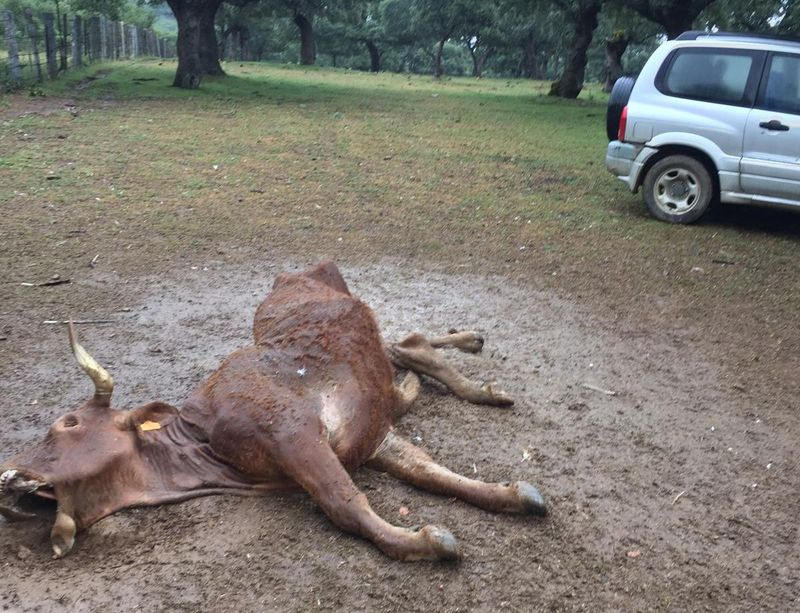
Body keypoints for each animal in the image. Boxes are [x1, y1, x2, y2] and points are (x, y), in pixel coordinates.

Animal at [0, 261, 546, 561]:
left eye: (67, 424)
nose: (8, 472)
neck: (208, 449)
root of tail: (299, 270)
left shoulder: (292, 430)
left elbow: (346, 503)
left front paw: (427, 542)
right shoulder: (368, 440)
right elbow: (428, 471)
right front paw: (513, 495)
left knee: (407, 343)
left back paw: (475, 380)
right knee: (408, 344)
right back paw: (461, 362)